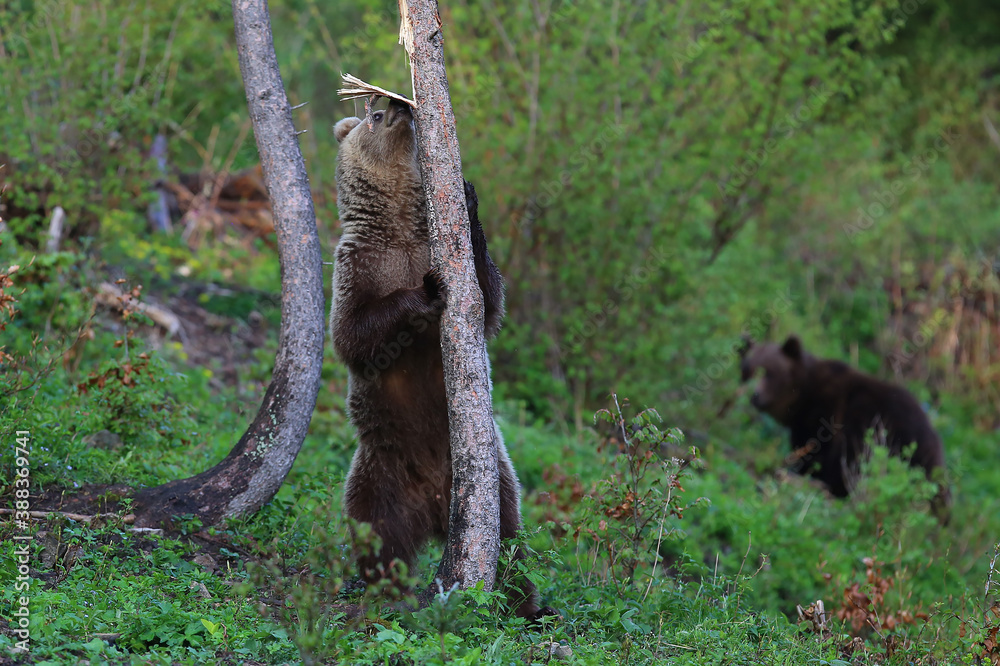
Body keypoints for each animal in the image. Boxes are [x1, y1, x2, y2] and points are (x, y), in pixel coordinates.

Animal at [329, 100, 551, 620]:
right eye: (371, 115)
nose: (396, 105)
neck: (400, 230)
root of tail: (432, 508)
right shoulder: (357, 266)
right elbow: (353, 335)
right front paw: (426, 291)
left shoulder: (448, 263)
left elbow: (488, 298)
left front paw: (467, 202)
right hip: (380, 473)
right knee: (378, 535)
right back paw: (379, 591)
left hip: (494, 483)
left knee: (510, 542)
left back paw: (529, 608)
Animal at [738, 335, 950, 512]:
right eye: (747, 371)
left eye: (768, 372)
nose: (754, 395)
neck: (802, 396)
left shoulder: (823, 415)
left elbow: (814, 451)